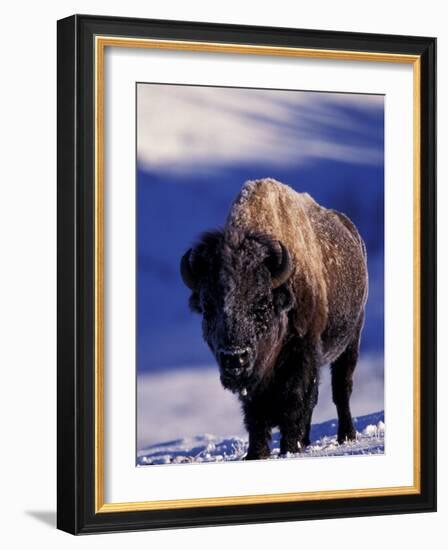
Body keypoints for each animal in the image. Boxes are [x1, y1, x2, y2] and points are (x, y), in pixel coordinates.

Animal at [178, 180, 368, 462]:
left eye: (261, 304)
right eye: (208, 307)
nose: (234, 358)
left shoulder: (301, 354)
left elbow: (294, 400)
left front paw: (290, 447)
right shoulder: (256, 380)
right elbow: (256, 413)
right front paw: (256, 453)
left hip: (351, 340)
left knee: (340, 389)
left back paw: (346, 435)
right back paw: (307, 439)